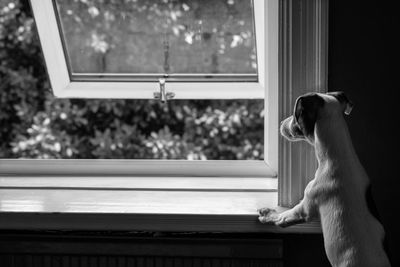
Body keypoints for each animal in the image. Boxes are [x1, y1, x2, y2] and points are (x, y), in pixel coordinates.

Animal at [258, 92, 392, 267]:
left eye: (296, 116)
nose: (280, 123)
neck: (338, 156)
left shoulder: (304, 209)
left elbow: (282, 217)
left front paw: (267, 214)